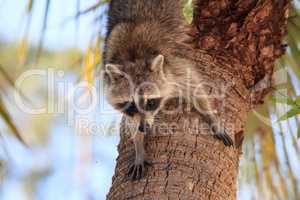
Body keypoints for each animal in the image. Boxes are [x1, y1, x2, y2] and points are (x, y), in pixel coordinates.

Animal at [102, 0, 232, 180]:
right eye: (131, 105)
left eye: (150, 102)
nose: (144, 128)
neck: (133, 58)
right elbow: (131, 121)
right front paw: (139, 146)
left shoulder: (174, 67)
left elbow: (195, 86)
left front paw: (212, 118)